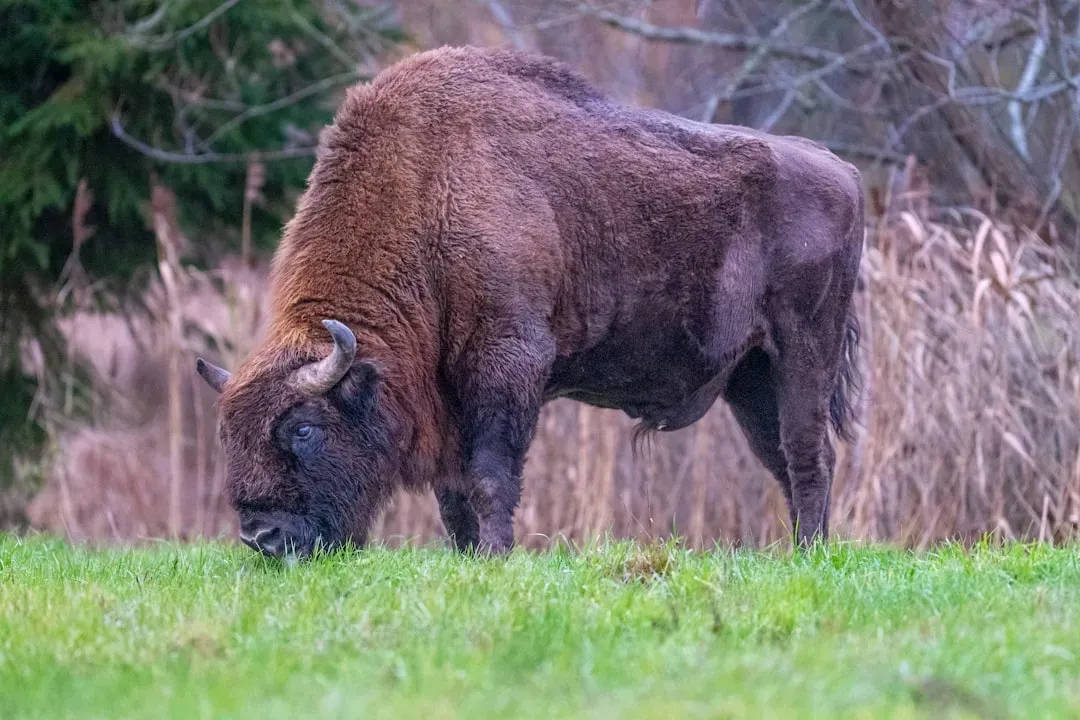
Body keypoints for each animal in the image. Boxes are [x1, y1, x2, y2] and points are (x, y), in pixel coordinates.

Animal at [196, 46, 863, 558]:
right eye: (227, 434)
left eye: (304, 428)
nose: (262, 537)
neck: (428, 191)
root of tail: (843, 170)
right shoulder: (448, 397)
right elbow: (454, 493)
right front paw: (467, 556)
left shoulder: (507, 364)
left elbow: (491, 477)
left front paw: (495, 556)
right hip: (750, 377)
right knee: (780, 457)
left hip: (805, 351)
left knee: (809, 453)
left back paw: (809, 555)